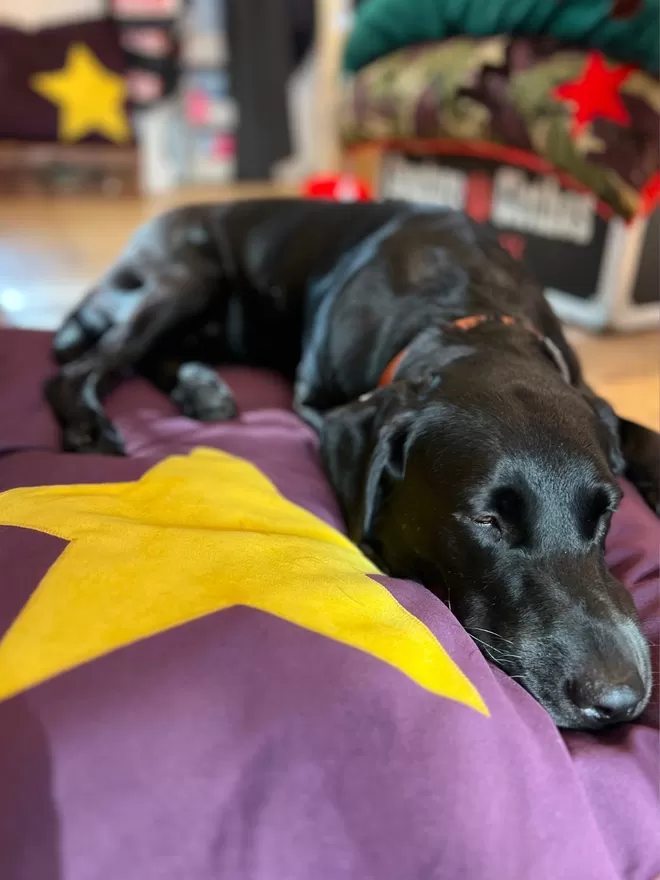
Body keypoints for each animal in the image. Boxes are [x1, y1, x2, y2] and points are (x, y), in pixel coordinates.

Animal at [45, 199, 656, 728]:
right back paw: (93, 424)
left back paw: (201, 388)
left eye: (606, 515)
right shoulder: (318, 404)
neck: (465, 313)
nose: (618, 699)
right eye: (487, 521)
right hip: (187, 277)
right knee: (87, 364)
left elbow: (643, 435)